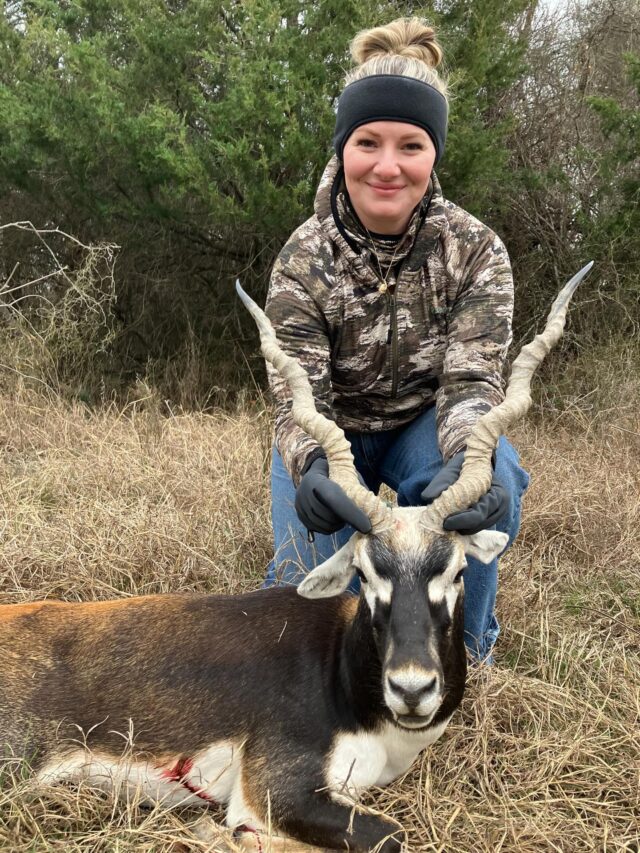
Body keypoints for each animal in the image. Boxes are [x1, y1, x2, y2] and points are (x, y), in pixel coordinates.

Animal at [0, 264, 592, 852]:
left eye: (457, 570)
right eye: (365, 574)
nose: (412, 688)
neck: (347, 683)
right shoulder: (277, 792)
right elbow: (389, 835)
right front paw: (218, 832)